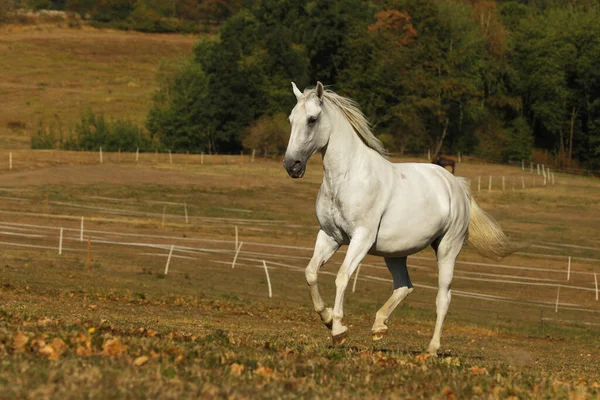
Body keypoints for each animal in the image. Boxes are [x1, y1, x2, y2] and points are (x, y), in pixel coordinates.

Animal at [282, 81, 516, 354]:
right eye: (291, 119)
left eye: (312, 119)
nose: (292, 165)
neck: (347, 177)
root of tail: (455, 184)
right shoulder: (330, 236)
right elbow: (310, 272)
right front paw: (328, 318)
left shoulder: (361, 238)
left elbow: (342, 276)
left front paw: (339, 330)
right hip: (394, 253)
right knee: (404, 285)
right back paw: (379, 326)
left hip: (447, 248)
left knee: (443, 297)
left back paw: (432, 348)